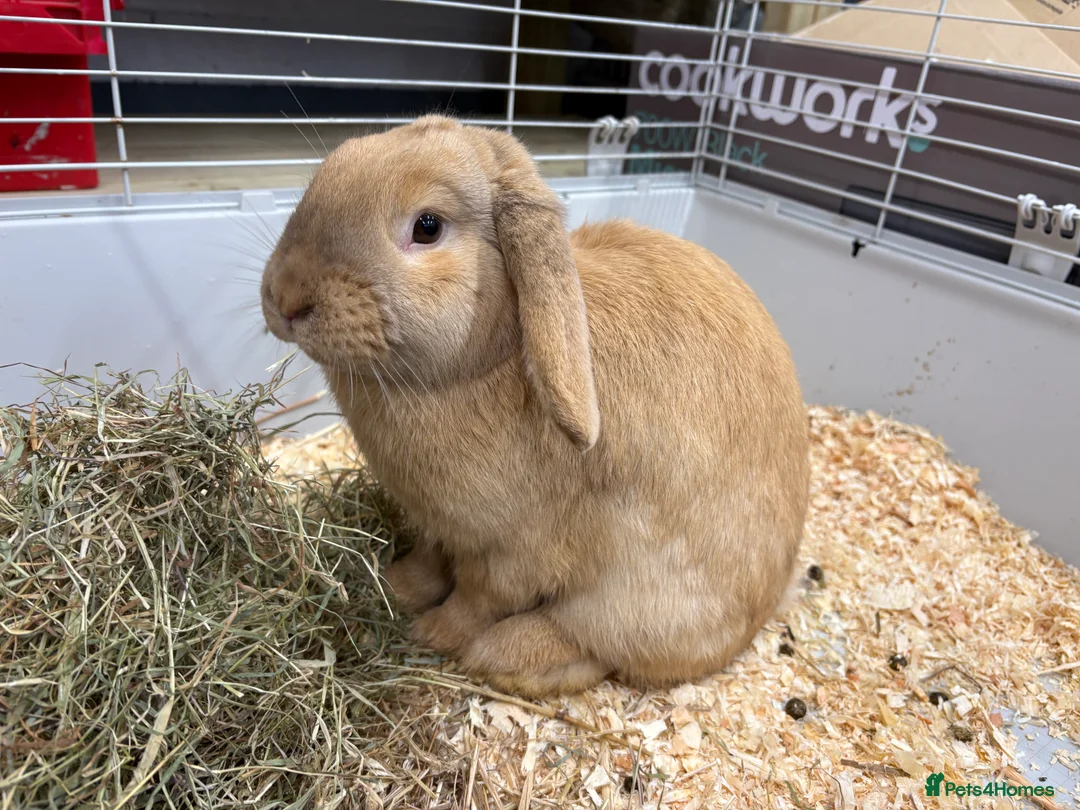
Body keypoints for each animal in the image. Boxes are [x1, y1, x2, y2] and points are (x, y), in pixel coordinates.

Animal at [261, 114, 810, 698]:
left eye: (428, 226)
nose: (286, 297)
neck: (491, 357)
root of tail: (770, 602)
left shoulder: (513, 554)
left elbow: (479, 597)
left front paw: (432, 633)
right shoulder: (439, 529)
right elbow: (430, 564)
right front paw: (395, 586)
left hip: (638, 606)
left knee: (601, 648)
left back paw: (503, 655)